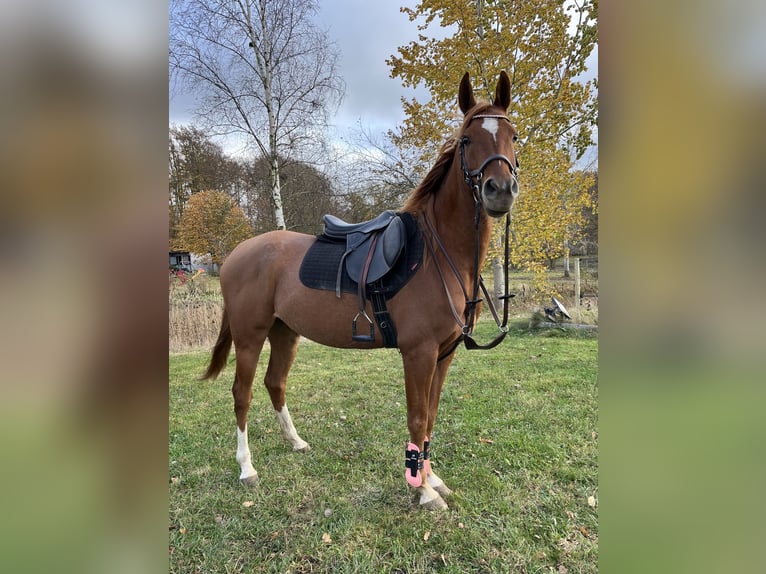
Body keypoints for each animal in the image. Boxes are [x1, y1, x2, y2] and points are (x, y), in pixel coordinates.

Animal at [201, 73, 520, 512]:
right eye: (468, 139)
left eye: (514, 136)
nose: (499, 189)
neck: (438, 254)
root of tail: (235, 254)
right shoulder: (418, 353)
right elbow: (417, 418)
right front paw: (422, 490)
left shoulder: (444, 354)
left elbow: (431, 417)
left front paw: (433, 480)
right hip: (250, 337)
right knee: (241, 393)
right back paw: (247, 468)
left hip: (285, 333)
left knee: (274, 383)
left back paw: (296, 442)